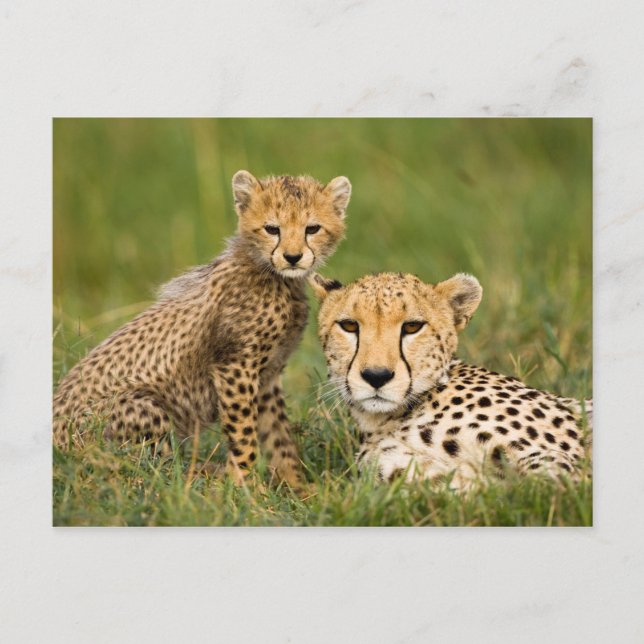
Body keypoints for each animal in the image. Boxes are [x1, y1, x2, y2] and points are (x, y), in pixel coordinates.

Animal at [53, 170, 351, 490]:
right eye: (272, 229)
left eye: (312, 228)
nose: (293, 257)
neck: (273, 276)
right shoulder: (235, 367)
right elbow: (244, 432)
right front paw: (246, 486)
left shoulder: (267, 375)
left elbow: (278, 435)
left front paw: (296, 485)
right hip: (140, 405)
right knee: (150, 472)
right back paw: (207, 476)